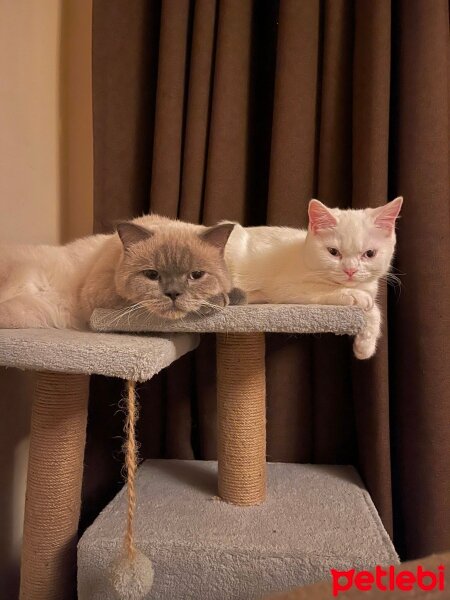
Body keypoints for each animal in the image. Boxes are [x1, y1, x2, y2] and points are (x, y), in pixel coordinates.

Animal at [0, 218, 236, 328]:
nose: (173, 294)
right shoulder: (97, 293)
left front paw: (222, 298)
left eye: (196, 275)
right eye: (152, 275)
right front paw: (217, 301)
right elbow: (131, 301)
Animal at [225, 197, 404, 358]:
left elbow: (374, 309)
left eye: (370, 254)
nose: (350, 270)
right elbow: (325, 288)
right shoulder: (284, 286)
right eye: (333, 252)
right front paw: (353, 294)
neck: (303, 253)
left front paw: (365, 345)